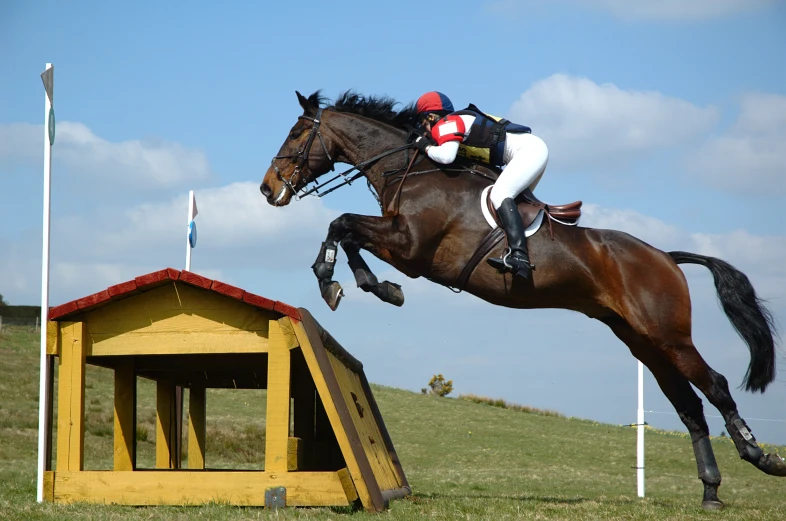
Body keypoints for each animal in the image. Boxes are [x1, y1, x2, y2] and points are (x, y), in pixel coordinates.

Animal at [260, 89, 780, 508]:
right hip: (642, 342)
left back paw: (760, 456)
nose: (267, 188)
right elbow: (346, 232)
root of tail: (666, 257)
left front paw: (337, 280)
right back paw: (710, 491)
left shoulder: (410, 247)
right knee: (688, 407)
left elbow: (343, 224)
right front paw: (365, 285)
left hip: (669, 335)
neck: (413, 167)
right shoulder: (400, 244)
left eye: (296, 133)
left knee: (715, 386)